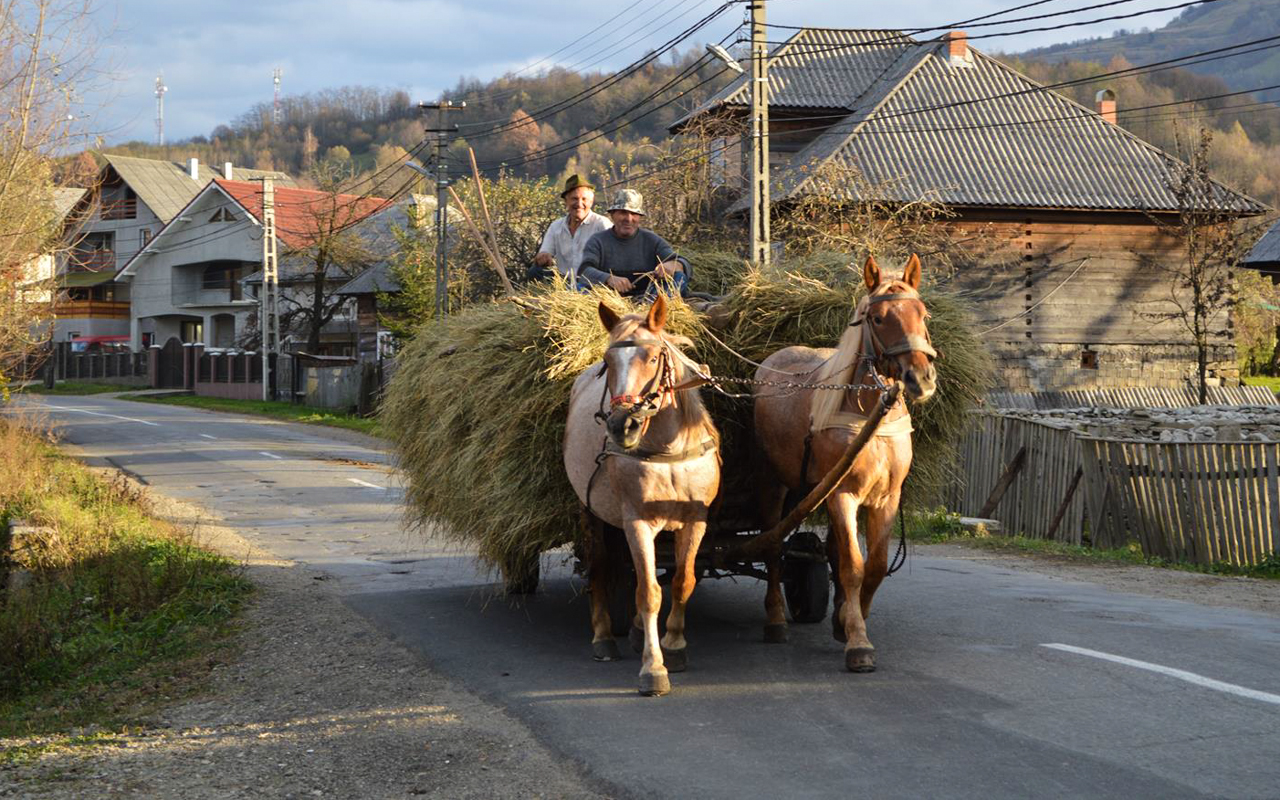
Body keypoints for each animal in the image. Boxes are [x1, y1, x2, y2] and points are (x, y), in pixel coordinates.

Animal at [563, 291, 721, 691]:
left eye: (652, 357)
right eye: (607, 361)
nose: (624, 425)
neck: (668, 451)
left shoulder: (696, 520)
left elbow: (682, 582)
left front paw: (675, 646)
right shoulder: (637, 521)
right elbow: (649, 592)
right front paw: (654, 667)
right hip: (591, 513)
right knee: (600, 567)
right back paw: (604, 637)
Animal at [747, 252, 942, 670]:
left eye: (923, 313)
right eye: (878, 318)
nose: (920, 378)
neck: (868, 416)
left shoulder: (886, 500)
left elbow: (875, 566)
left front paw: (847, 621)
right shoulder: (843, 496)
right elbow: (853, 566)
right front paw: (858, 641)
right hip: (774, 486)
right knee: (772, 547)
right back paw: (775, 619)